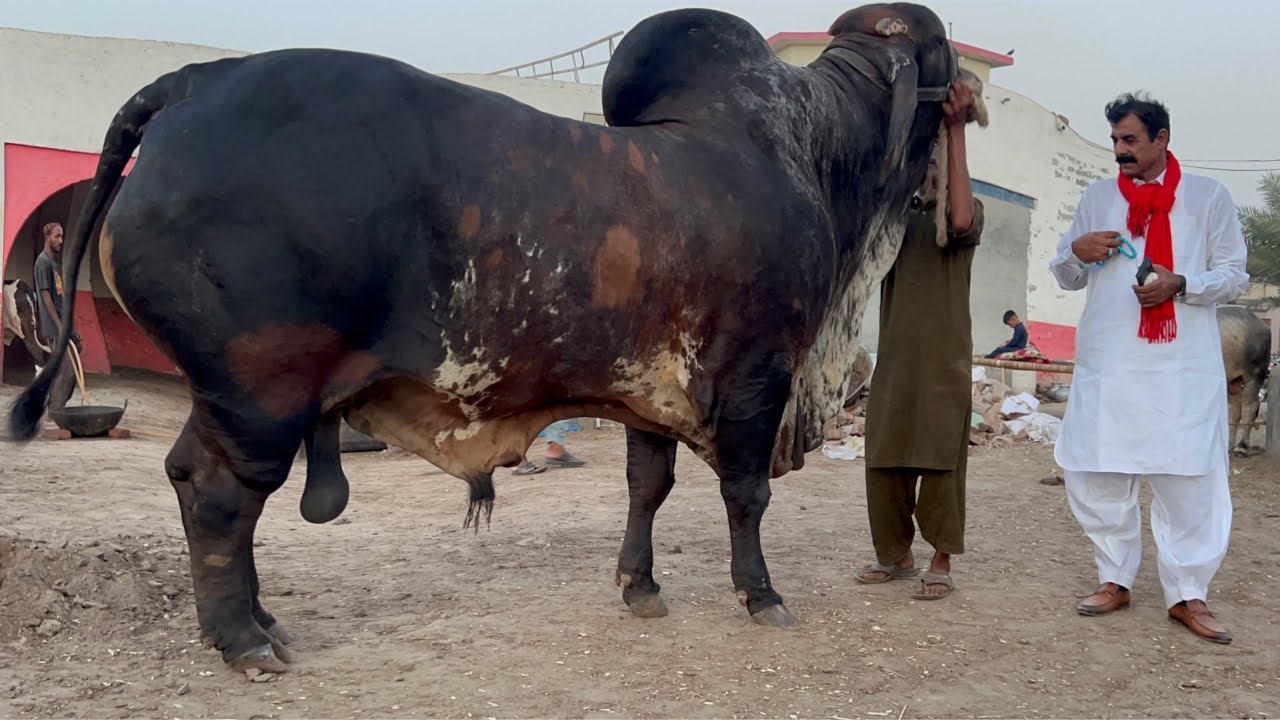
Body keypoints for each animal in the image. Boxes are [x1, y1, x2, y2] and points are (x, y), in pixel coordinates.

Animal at [9, 3, 962, 675]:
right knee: (216, 495)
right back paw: (244, 639)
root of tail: (194, 82)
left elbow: (646, 486)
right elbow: (747, 495)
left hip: (235, 395)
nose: (971, 101)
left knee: (191, 480)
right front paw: (760, 595)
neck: (814, 148)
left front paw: (640, 585)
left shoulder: (650, 390)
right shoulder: (759, 378)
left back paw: (256, 621)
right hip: (260, 391)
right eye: (943, 53)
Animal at [1218, 305, 1271, 455]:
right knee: (1234, 409)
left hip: (1255, 374)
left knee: (1249, 406)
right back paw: (1229, 447)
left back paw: (1241, 447)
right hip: (1233, 380)